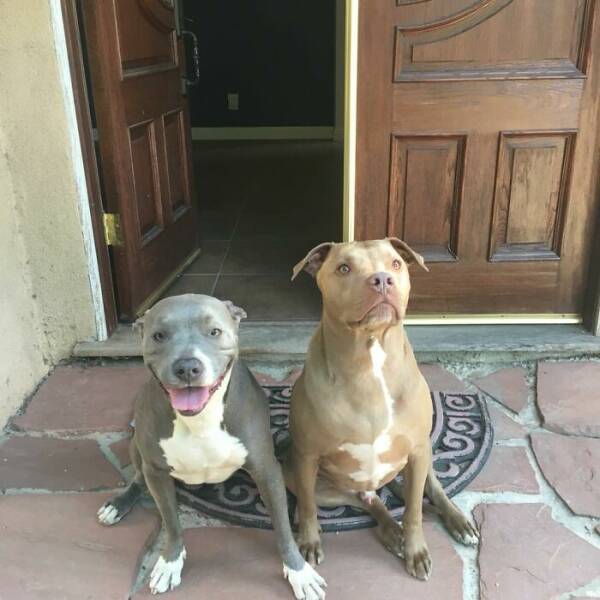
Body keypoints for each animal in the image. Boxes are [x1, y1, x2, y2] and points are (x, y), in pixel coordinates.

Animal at [96, 292, 326, 596]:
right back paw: (118, 504)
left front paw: (299, 572)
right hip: (138, 449)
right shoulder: (157, 472)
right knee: (137, 478)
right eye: (159, 335)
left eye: (214, 331)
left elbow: (283, 528)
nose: (187, 367)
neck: (200, 419)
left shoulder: (267, 470)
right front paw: (170, 563)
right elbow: (171, 523)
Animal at [286, 239, 478, 580]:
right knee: (368, 498)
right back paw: (391, 531)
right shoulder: (305, 457)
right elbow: (307, 508)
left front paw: (416, 550)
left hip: (424, 454)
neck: (370, 360)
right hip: (315, 482)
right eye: (344, 268)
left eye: (395, 264)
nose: (382, 280)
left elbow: (413, 511)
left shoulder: (417, 450)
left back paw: (455, 520)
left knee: (431, 489)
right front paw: (308, 542)